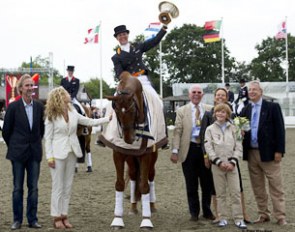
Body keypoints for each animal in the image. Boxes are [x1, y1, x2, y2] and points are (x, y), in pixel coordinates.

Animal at [104, 73, 160, 229]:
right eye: (116, 111)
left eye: (133, 110)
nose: (129, 139)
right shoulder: (119, 153)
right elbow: (120, 184)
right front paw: (117, 219)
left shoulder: (146, 154)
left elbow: (145, 185)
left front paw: (146, 221)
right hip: (131, 158)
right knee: (134, 175)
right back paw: (133, 207)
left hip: (153, 155)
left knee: (150, 175)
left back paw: (152, 206)